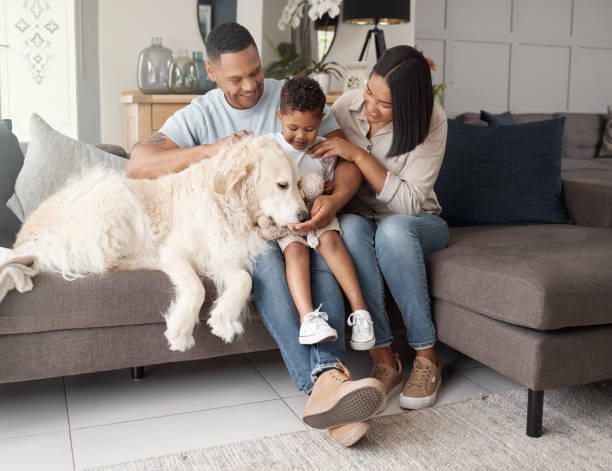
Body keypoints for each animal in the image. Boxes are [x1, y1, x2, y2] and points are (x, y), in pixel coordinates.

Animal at [10, 136, 306, 350]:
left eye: (299, 183)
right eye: (282, 185)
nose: (305, 216)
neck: (228, 203)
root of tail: (23, 241)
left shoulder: (220, 254)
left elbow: (245, 280)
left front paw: (223, 318)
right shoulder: (176, 252)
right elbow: (196, 288)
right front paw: (181, 330)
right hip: (113, 195)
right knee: (105, 261)